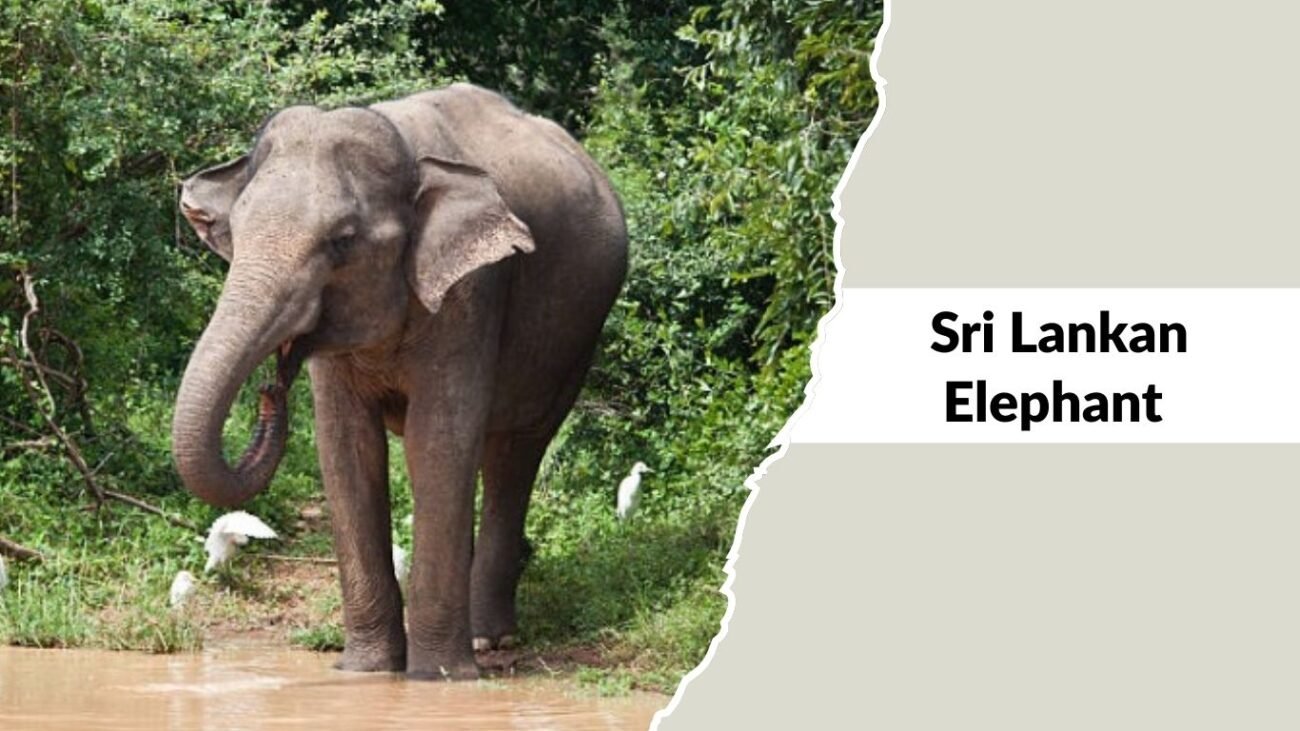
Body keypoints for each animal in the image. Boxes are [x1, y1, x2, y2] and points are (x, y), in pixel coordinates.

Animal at [171, 83, 627, 679]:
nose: (271, 389)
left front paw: (435, 679)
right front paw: (365, 673)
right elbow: (347, 448)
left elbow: (434, 442)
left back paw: (487, 641)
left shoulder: (471, 291)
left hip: (574, 343)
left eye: (342, 241)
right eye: (237, 230)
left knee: (515, 454)